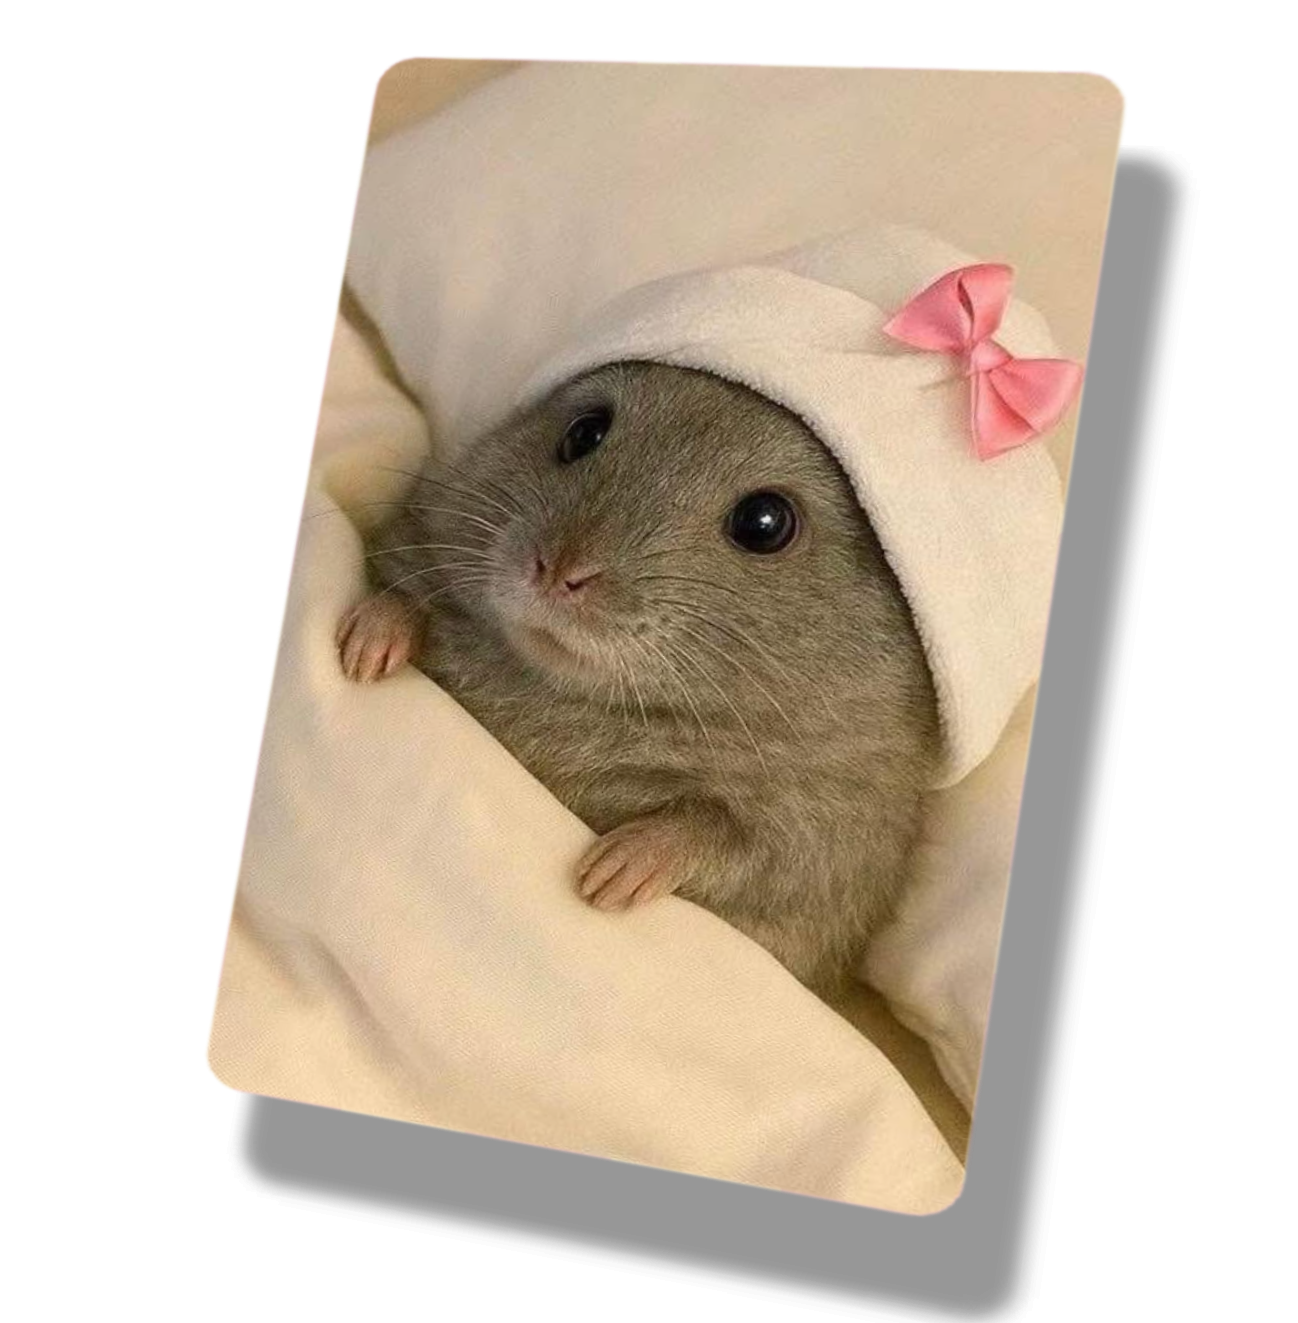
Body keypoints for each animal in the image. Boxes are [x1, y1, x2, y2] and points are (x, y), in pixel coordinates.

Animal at [337, 362, 940, 995]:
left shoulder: (834, 845)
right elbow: (404, 580)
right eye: (584, 432)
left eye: (765, 523)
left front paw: (629, 861)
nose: (557, 570)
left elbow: (736, 840)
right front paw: (381, 629)